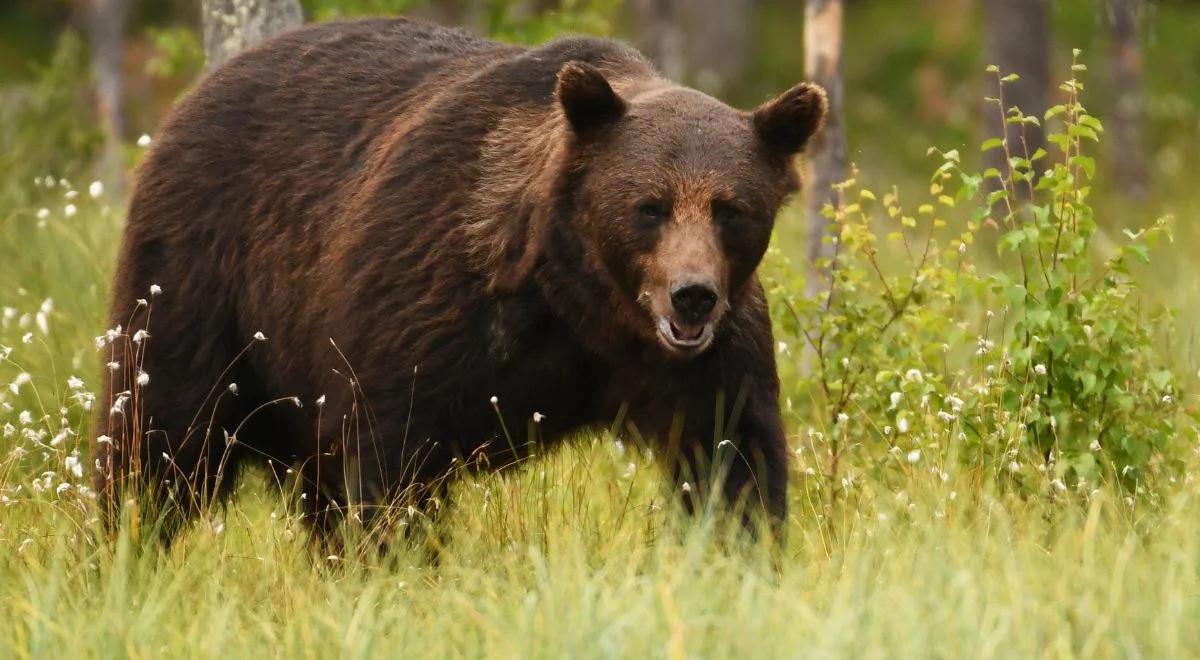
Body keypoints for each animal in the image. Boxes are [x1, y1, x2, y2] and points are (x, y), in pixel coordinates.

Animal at [91, 18, 825, 544]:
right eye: (650, 206)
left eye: (731, 209)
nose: (692, 295)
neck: (579, 299)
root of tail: (191, 99)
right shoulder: (423, 297)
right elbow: (389, 456)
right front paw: (397, 560)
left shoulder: (706, 358)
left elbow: (732, 454)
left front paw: (742, 550)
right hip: (203, 279)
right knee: (161, 435)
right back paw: (125, 547)